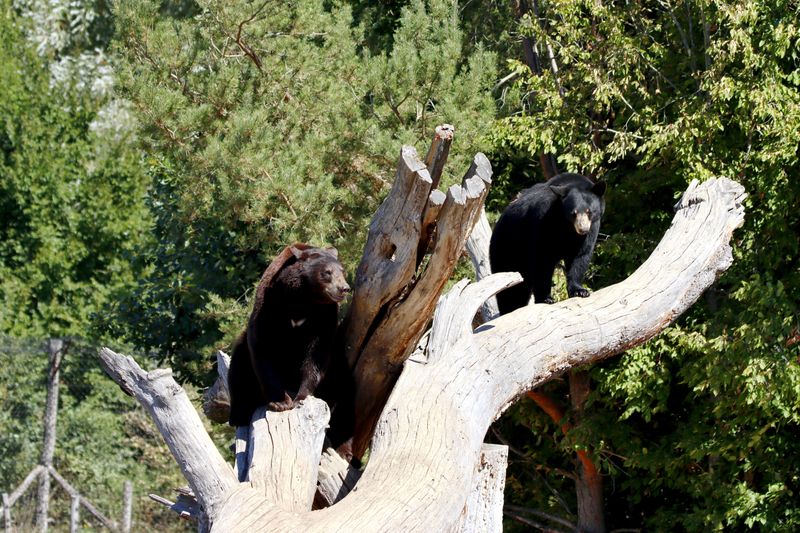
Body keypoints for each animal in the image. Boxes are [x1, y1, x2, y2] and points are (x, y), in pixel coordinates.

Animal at [227, 243, 351, 429]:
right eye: (327, 272)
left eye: (342, 271)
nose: (344, 288)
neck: (303, 300)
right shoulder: (271, 305)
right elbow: (262, 346)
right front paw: (281, 402)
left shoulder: (324, 317)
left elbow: (317, 354)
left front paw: (301, 397)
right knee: (239, 365)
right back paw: (239, 413)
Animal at [489, 173, 606, 314]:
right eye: (573, 213)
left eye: (589, 211)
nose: (582, 229)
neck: (567, 228)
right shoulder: (544, 221)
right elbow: (542, 259)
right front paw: (546, 298)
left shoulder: (591, 229)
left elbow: (580, 256)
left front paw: (580, 291)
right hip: (507, 247)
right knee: (510, 288)